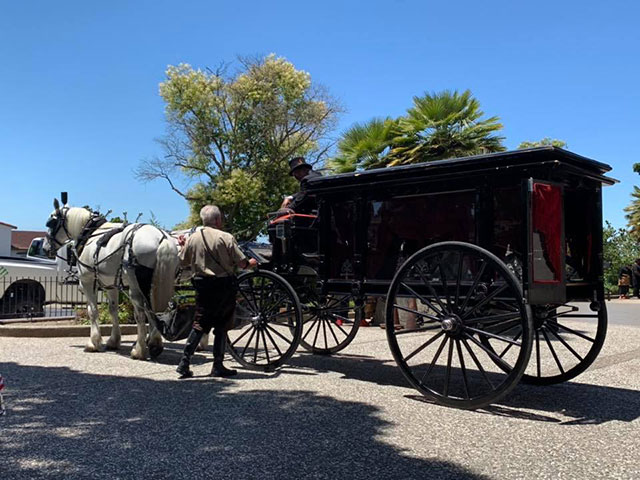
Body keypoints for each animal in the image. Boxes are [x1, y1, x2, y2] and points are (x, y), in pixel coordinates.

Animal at [45, 197, 180, 358]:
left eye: (50, 223)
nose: (45, 248)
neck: (89, 233)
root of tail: (161, 238)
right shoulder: (111, 285)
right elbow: (113, 310)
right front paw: (114, 340)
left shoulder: (87, 281)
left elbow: (93, 311)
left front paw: (93, 343)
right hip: (155, 283)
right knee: (154, 310)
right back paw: (154, 343)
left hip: (135, 286)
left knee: (141, 314)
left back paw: (139, 350)